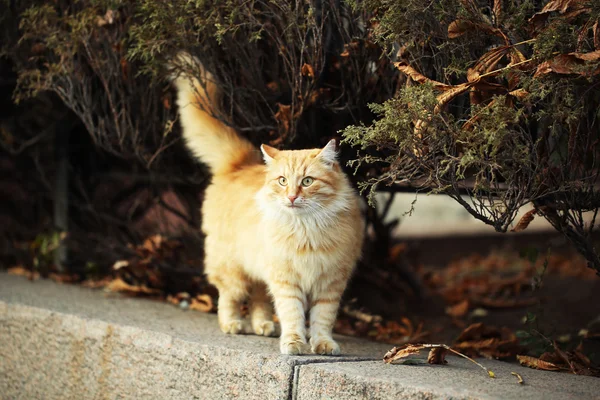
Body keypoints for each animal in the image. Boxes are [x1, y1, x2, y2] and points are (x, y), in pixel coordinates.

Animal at [171, 54, 364, 356]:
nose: (292, 197)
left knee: (260, 301)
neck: (307, 229)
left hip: (261, 273)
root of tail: (240, 164)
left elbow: (322, 319)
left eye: (307, 181)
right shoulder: (286, 280)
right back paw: (233, 325)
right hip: (234, 270)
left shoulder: (329, 283)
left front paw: (322, 343)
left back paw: (263, 326)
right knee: (228, 298)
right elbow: (292, 314)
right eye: (283, 181)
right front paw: (294, 343)